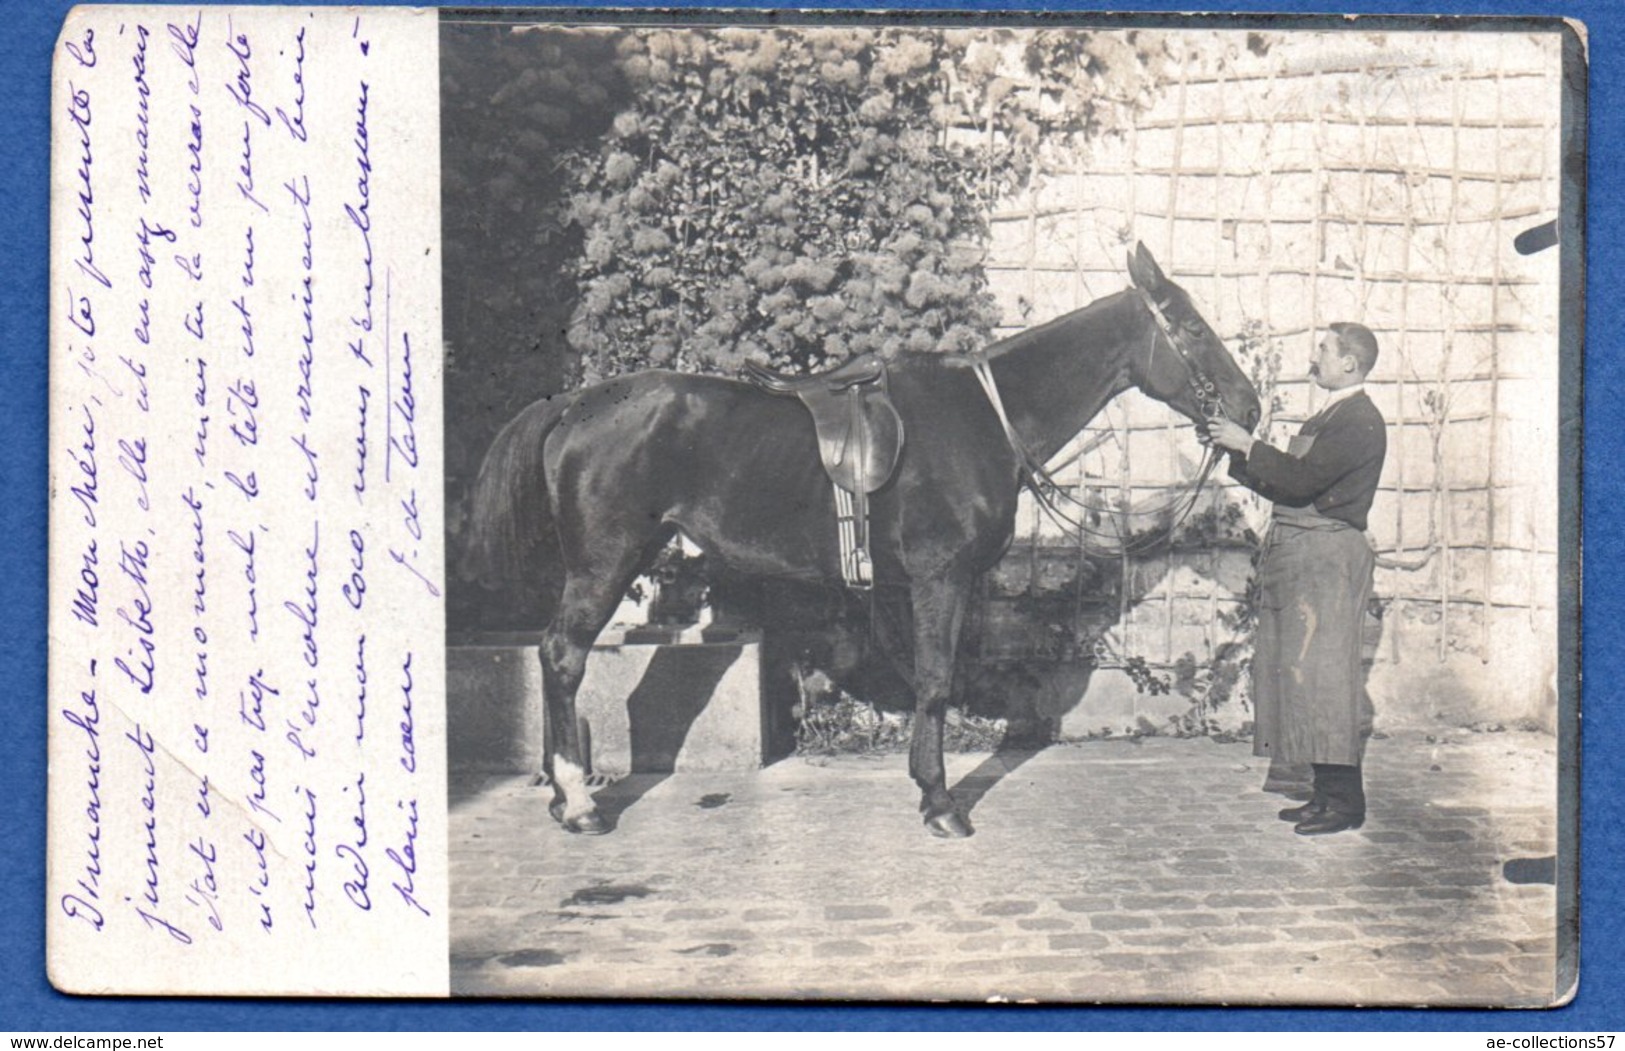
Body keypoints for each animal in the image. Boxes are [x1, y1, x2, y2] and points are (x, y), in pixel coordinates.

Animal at [464, 245, 1261, 838]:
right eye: (1191, 328)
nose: (1249, 408)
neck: (982, 418)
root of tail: (573, 404)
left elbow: (925, 680)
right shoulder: (941, 579)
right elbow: (935, 682)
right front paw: (940, 805)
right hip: (604, 563)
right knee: (562, 656)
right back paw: (577, 802)